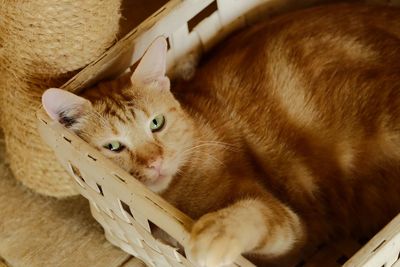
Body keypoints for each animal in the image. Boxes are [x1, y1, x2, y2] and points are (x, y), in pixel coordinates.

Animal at [41, 3, 400, 267]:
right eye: (114, 146)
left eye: (156, 123)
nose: (155, 161)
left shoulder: (290, 228)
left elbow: (253, 213)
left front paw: (213, 233)